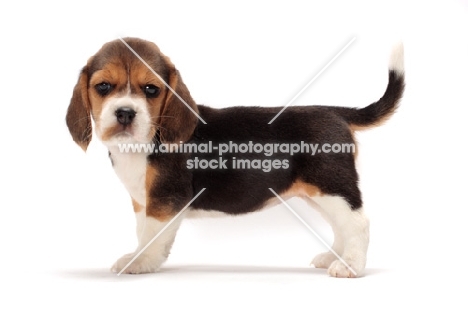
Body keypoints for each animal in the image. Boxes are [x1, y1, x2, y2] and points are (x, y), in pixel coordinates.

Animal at [66, 37, 406, 280]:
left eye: (151, 89)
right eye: (103, 87)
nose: (125, 113)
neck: (143, 142)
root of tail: (336, 112)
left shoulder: (164, 200)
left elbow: (152, 236)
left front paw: (141, 261)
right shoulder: (142, 200)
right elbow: (142, 232)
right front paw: (139, 255)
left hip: (332, 187)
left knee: (358, 223)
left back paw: (350, 265)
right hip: (318, 193)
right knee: (340, 225)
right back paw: (334, 257)